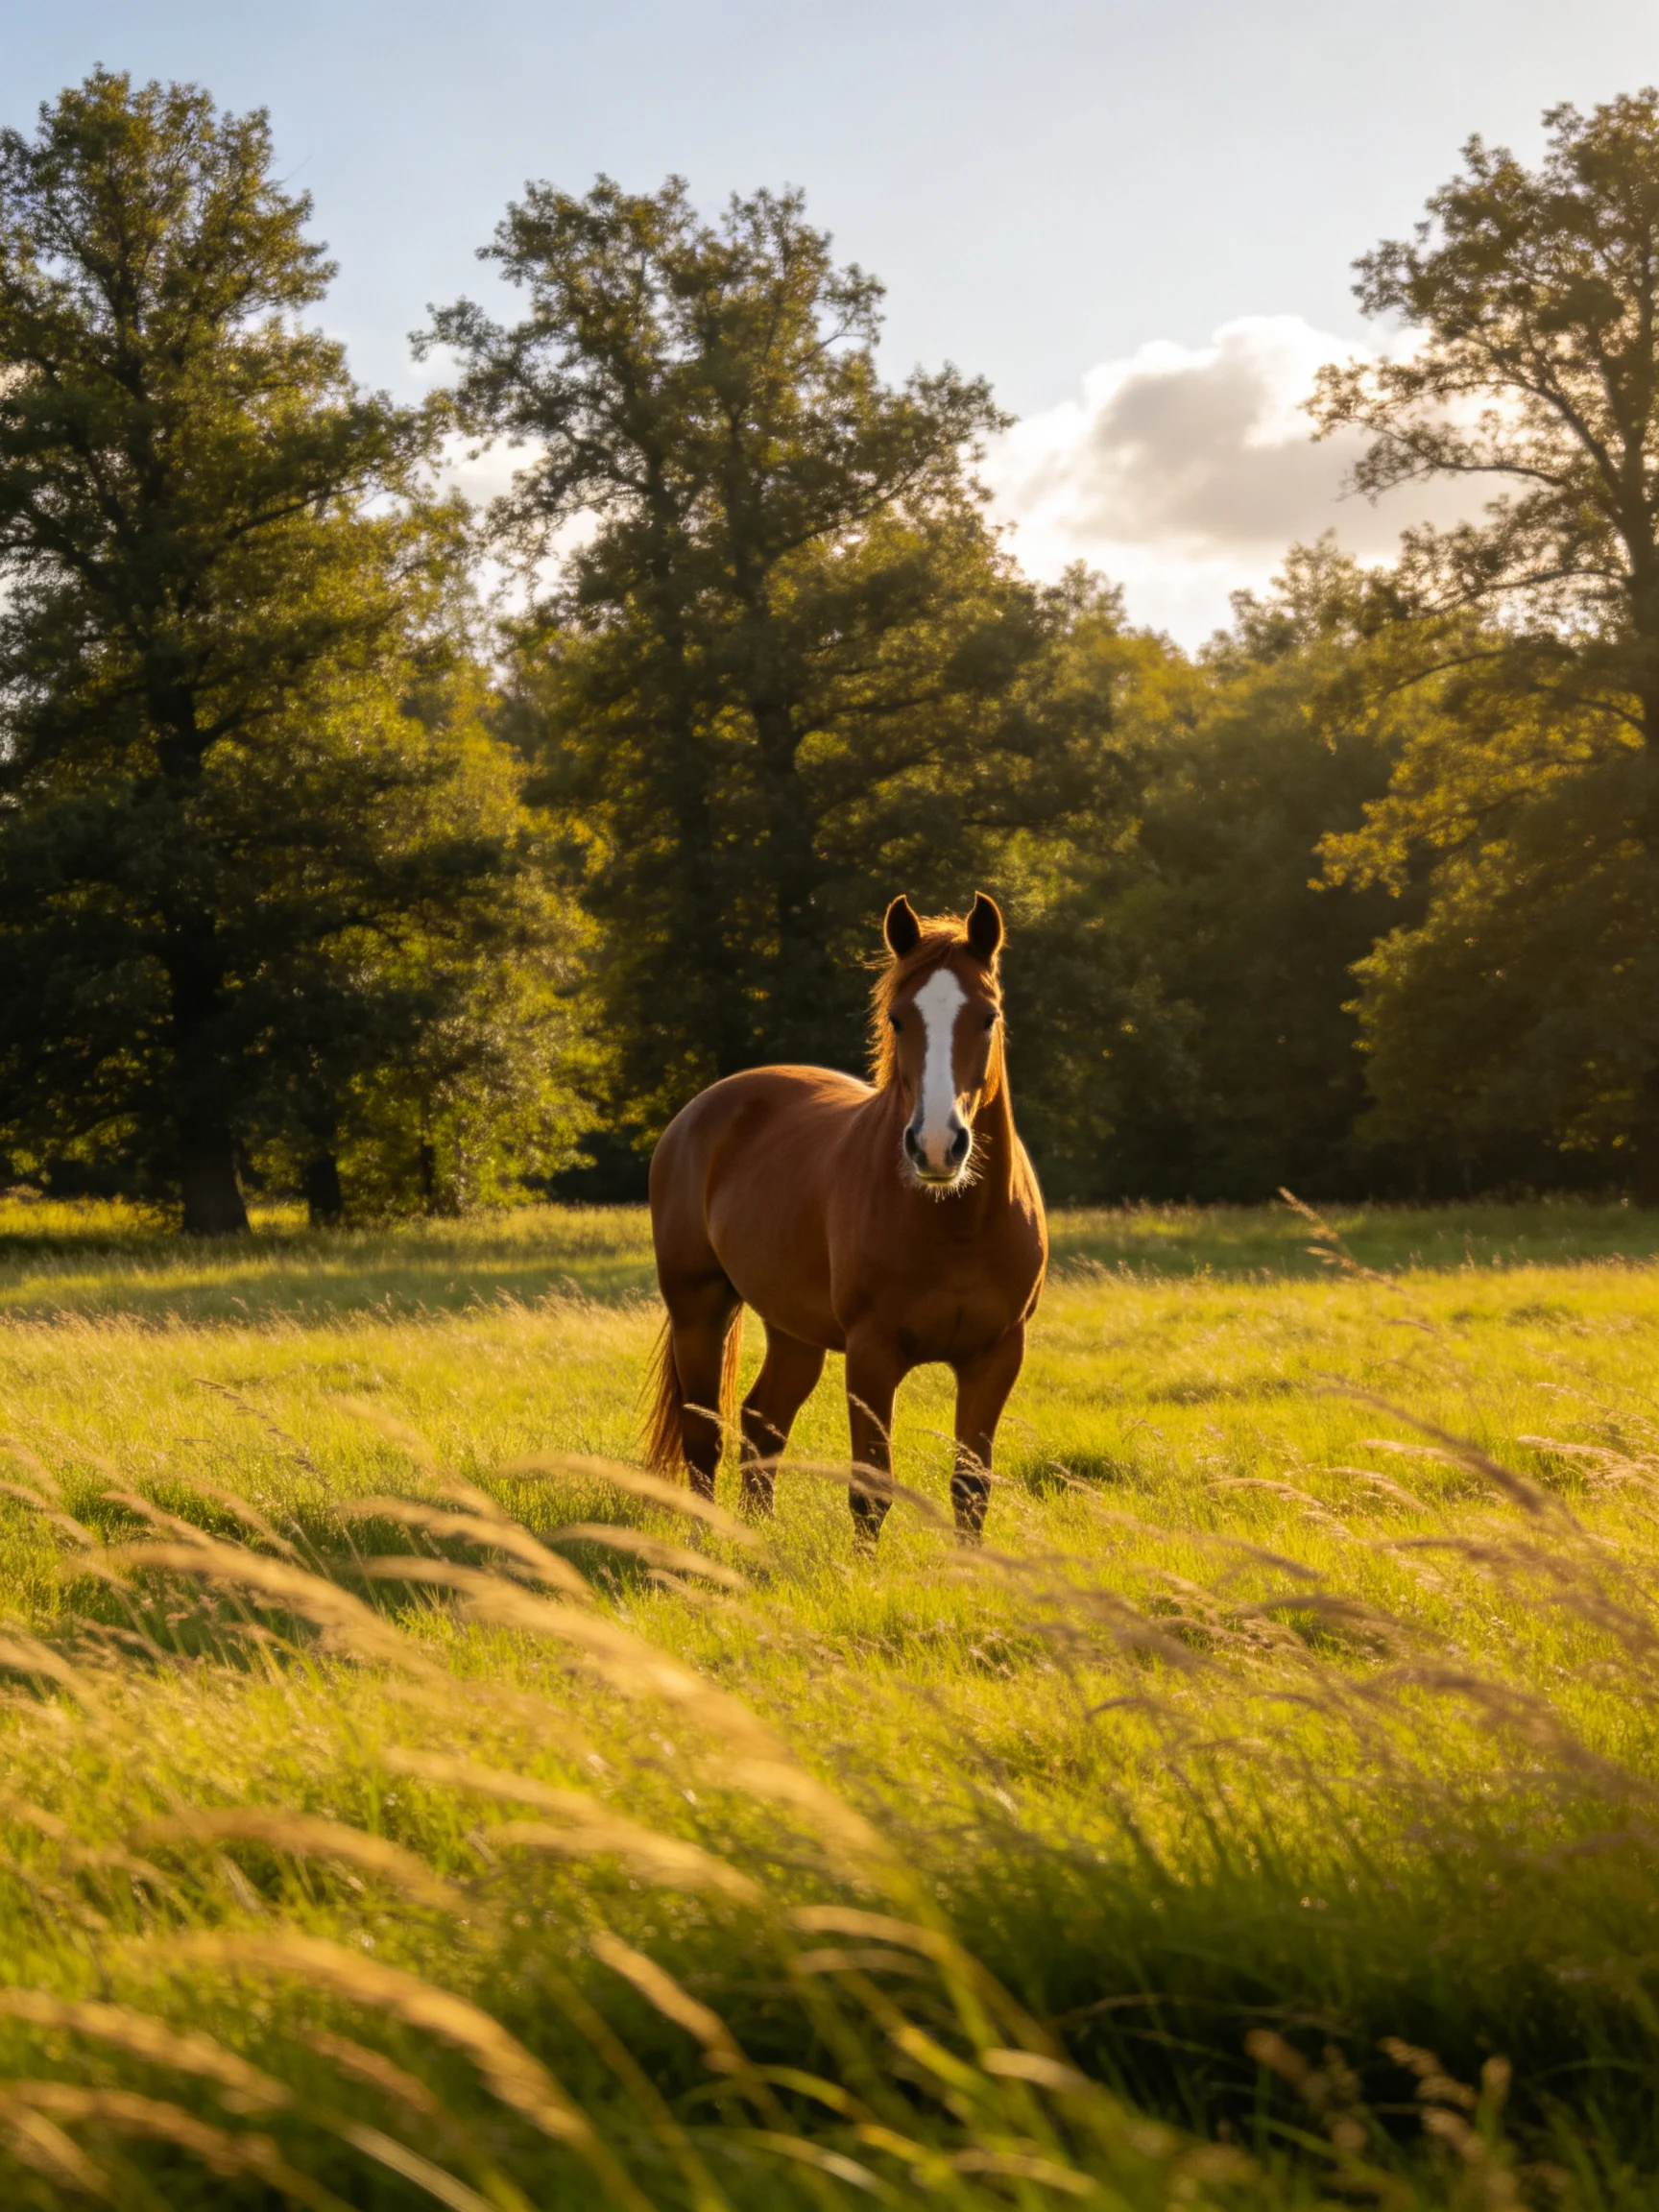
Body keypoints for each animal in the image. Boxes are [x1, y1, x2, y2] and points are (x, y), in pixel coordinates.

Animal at [643, 891, 1048, 1546]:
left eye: (987, 1017)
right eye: (898, 1019)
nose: (937, 1147)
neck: (955, 1225)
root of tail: (701, 1110)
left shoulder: (996, 1355)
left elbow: (971, 1488)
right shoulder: (871, 1354)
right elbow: (871, 1490)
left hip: (794, 1331)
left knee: (761, 1422)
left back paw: (759, 1538)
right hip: (698, 1309)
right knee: (702, 1438)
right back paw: (705, 1545)